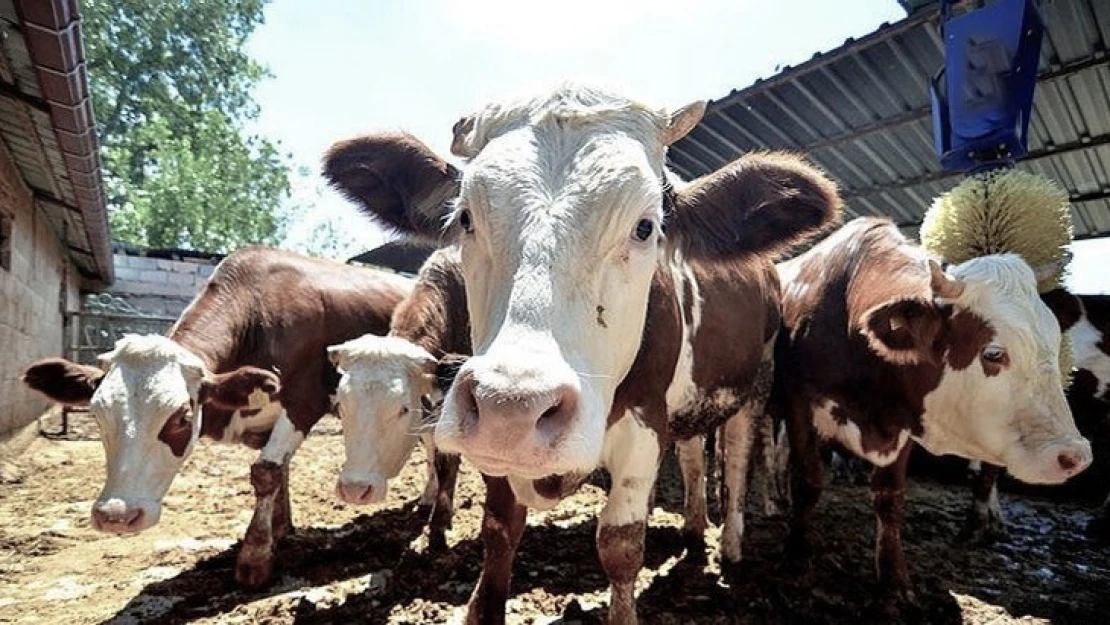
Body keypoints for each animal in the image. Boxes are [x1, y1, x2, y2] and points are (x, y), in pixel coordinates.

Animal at [20, 247, 412, 590]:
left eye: (181, 417)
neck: (258, 311)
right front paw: (280, 530)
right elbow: (280, 471)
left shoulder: (304, 400)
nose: (117, 516)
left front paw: (255, 558)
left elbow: (266, 472)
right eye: (98, 414)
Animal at [326, 247, 470, 550]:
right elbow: (431, 452)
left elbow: (447, 460)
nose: (355, 489)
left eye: (403, 409)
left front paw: (440, 524)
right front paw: (429, 496)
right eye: (341, 405)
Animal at [772, 216, 1092, 608]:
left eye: (1053, 341)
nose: (1075, 456)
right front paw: (797, 555)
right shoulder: (798, 401)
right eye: (993, 353)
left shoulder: (903, 420)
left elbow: (890, 499)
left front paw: (893, 580)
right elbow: (807, 480)